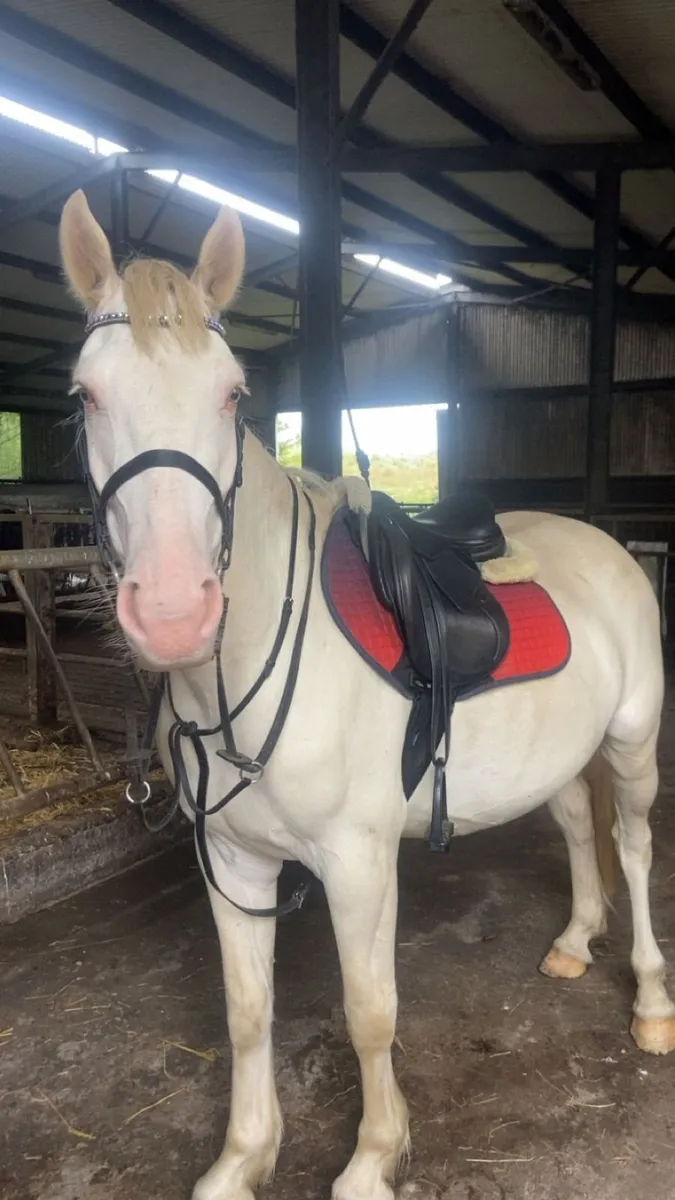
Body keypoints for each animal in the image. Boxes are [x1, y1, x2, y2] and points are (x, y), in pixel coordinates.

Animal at [59, 189, 675, 1200]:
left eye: (233, 393)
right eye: (85, 394)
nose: (176, 611)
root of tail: (601, 543)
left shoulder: (357, 863)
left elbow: (368, 1009)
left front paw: (373, 1158)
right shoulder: (232, 863)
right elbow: (245, 1011)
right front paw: (243, 1156)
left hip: (629, 746)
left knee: (629, 844)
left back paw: (651, 999)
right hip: (555, 754)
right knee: (576, 828)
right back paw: (574, 941)